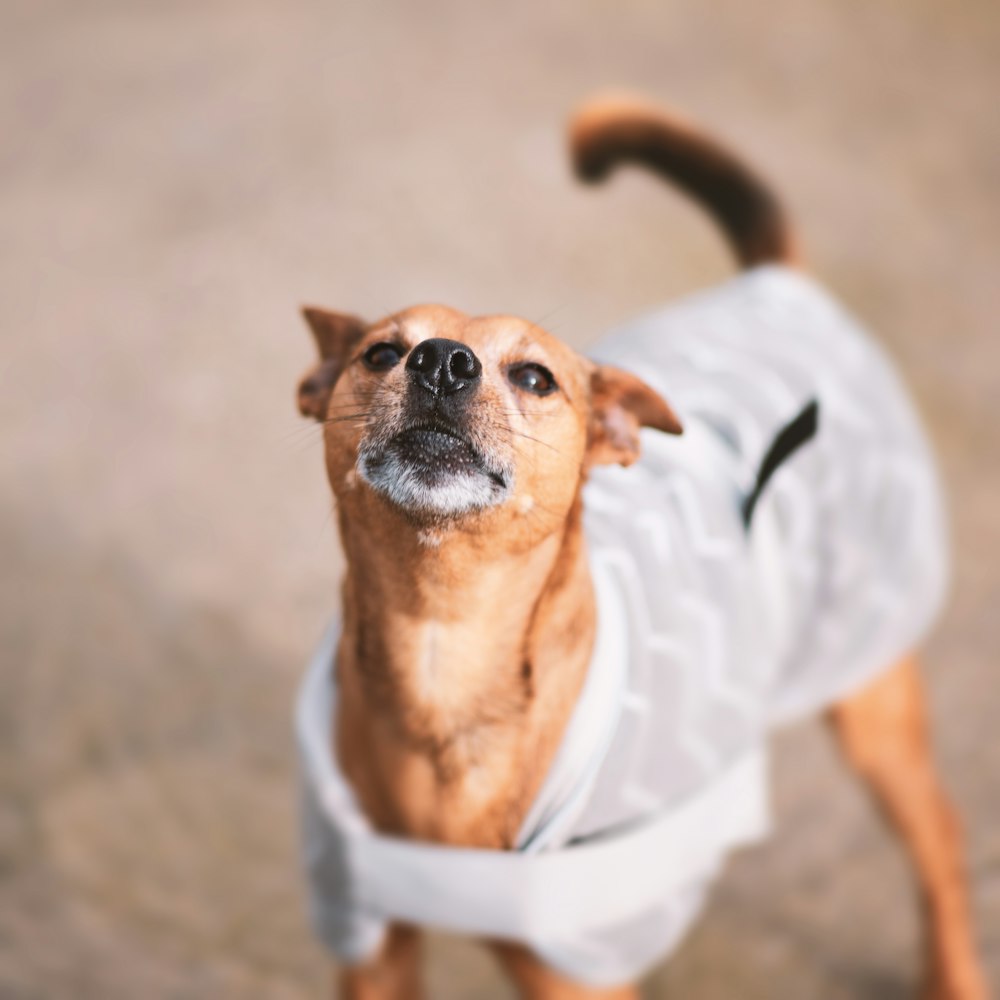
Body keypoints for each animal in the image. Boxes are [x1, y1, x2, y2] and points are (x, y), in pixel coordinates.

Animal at [292, 95, 988, 1000]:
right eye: (380, 351)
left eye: (535, 377)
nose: (442, 361)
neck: (442, 644)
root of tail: (779, 282)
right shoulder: (375, 946)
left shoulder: (582, 973)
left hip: (871, 697)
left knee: (939, 837)